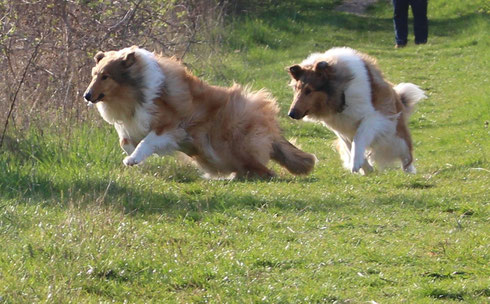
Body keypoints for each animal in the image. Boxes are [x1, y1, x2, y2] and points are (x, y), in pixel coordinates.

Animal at [83, 45, 316, 178]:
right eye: (94, 74)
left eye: (105, 76)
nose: (86, 95)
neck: (136, 90)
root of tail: (272, 130)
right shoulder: (133, 123)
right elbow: (125, 142)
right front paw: (133, 155)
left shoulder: (170, 126)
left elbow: (147, 141)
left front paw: (133, 159)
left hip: (235, 144)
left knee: (267, 171)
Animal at [288, 46, 424, 175]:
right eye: (297, 89)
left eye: (309, 90)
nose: (291, 114)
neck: (342, 93)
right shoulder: (342, 131)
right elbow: (350, 146)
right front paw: (366, 168)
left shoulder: (373, 117)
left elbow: (358, 139)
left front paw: (356, 163)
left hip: (395, 138)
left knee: (406, 157)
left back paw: (409, 172)